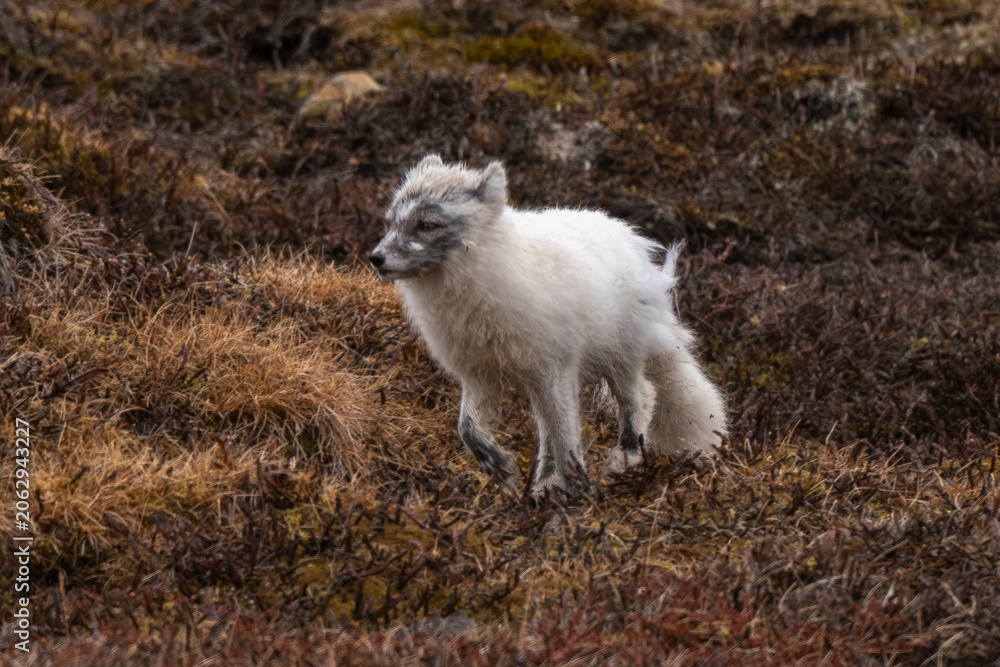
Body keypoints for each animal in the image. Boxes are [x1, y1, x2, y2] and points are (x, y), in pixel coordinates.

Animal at [370, 155, 727, 497]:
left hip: (618, 358)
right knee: (548, 432)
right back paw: (544, 484)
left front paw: (574, 494)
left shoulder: (557, 370)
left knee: (642, 396)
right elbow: (468, 428)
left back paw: (622, 459)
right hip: (543, 384)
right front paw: (500, 468)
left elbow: (568, 437)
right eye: (390, 223)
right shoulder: (481, 374)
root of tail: (626, 234)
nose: (375, 258)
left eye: (428, 225)